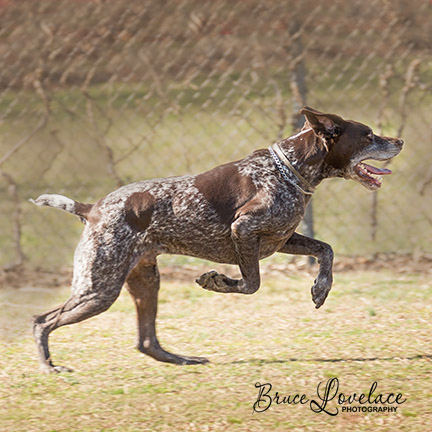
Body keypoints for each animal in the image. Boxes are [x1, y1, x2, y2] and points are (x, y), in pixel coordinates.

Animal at [32, 107, 404, 372]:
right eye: (369, 136)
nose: (399, 141)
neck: (289, 170)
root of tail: (91, 208)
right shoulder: (245, 230)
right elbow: (250, 284)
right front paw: (217, 281)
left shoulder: (281, 239)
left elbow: (326, 250)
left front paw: (320, 289)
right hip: (99, 288)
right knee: (41, 322)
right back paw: (50, 368)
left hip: (144, 281)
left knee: (147, 342)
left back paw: (183, 360)